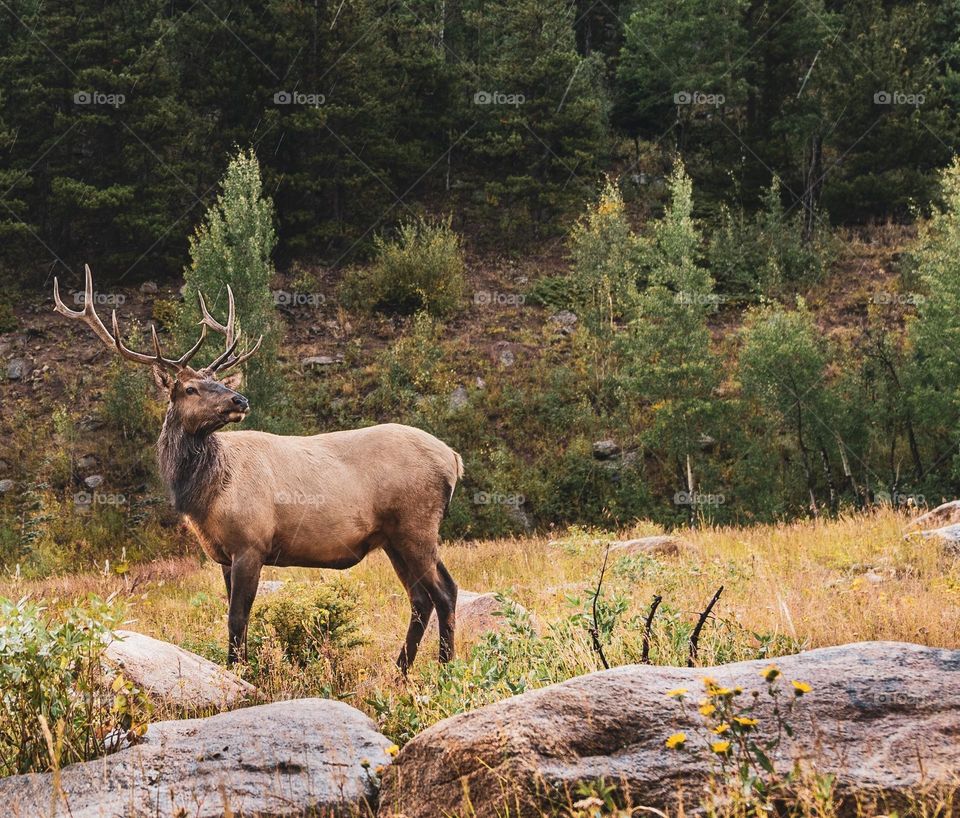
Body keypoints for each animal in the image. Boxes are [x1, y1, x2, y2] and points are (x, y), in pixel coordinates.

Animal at [54, 268, 464, 668]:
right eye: (190, 388)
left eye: (217, 380)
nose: (240, 399)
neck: (206, 496)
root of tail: (453, 459)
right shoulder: (224, 554)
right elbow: (238, 618)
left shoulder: (251, 542)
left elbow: (237, 618)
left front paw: (240, 672)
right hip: (393, 537)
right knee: (420, 598)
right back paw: (401, 671)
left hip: (416, 524)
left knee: (445, 591)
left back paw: (444, 669)